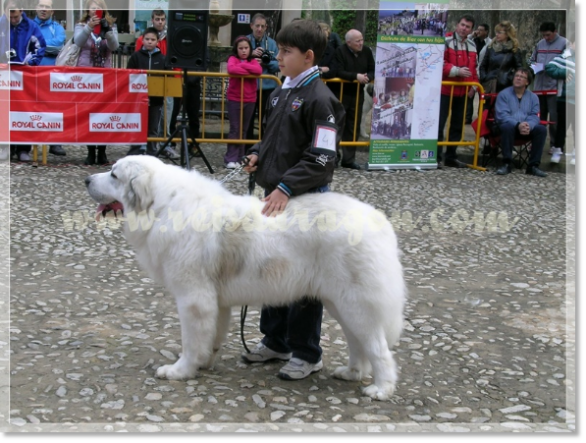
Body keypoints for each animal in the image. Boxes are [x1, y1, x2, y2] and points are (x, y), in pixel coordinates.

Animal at [85, 156, 406, 402]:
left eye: (114, 174)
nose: (87, 180)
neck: (161, 206)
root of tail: (379, 221)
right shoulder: (215, 303)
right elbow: (211, 338)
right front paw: (204, 364)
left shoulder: (193, 300)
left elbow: (191, 341)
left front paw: (180, 371)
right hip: (341, 303)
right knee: (358, 343)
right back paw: (352, 373)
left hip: (357, 304)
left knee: (379, 349)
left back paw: (381, 389)